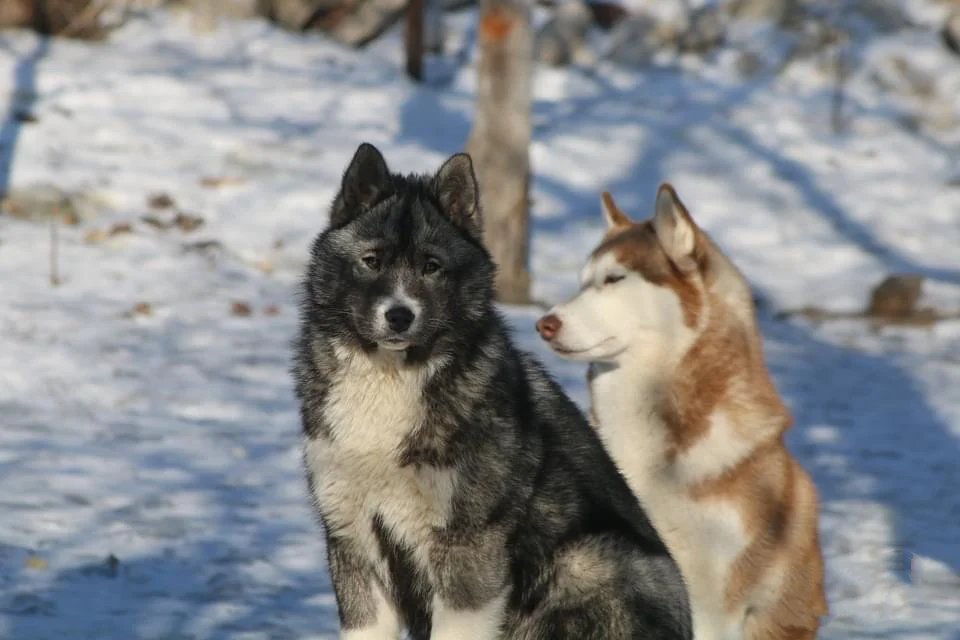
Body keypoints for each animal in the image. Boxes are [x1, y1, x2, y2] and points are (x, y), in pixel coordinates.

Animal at [292, 145, 688, 640]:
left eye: (431, 267)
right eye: (372, 260)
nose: (399, 316)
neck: (391, 380)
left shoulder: (468, 555)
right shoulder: (354, 544)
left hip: (589, 558)